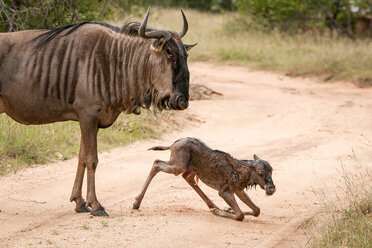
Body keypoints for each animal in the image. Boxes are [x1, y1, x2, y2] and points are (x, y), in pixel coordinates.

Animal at [132, 138, 274, 221]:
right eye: (261, 173)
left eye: (271, 171)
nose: (271, 188)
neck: (241, 173)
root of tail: (173, 143)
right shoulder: (224, 191)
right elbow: (240, 215)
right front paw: (219, 211)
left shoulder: (238, 190)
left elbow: (257, 210)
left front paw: (225, 208)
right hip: (178, 167)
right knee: (156, 163)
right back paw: (136, 203)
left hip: (188, 169)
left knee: (187, 178)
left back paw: (213, 205)